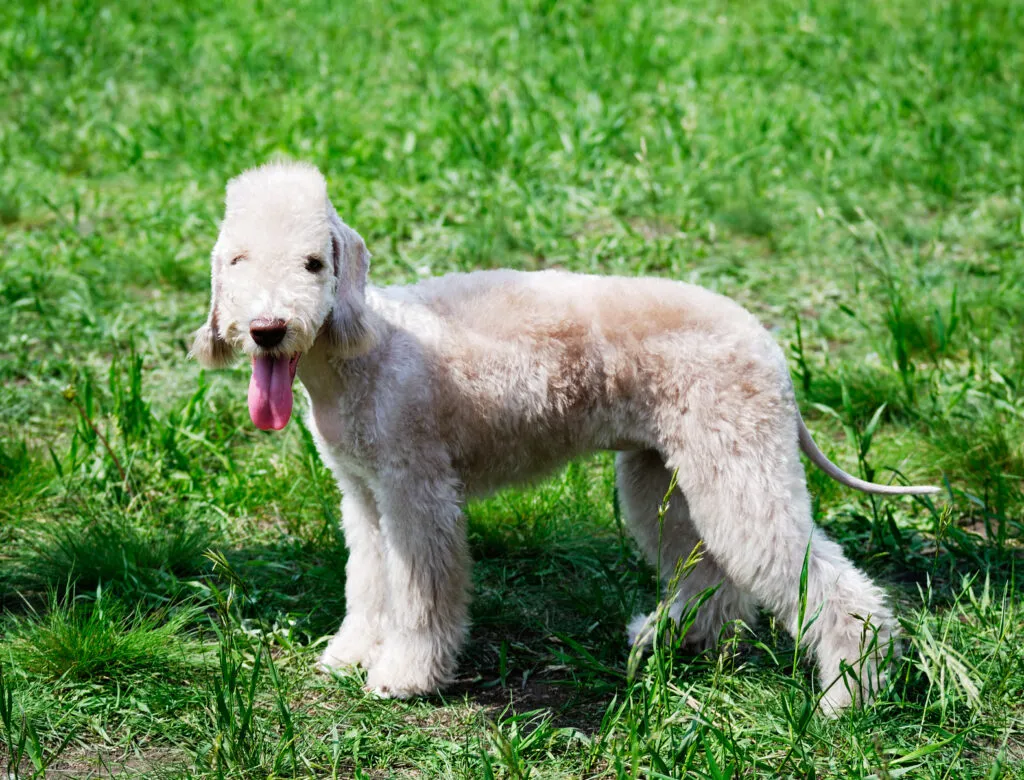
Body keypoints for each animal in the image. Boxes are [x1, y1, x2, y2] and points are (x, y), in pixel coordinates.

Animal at [190, 162, 937, 712]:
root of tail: (765, 341)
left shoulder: (416, 492)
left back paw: (849, 696)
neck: (366, 351)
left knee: (824, 583)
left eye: (314, 264)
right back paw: (673, 639)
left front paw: (403, 676)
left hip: (738, 461)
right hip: (663, 473)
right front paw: (349, 656)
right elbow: (369, 583)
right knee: (710, 573)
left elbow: (423, 593)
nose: (267, 329)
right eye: (237, 261)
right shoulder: (364, 496)